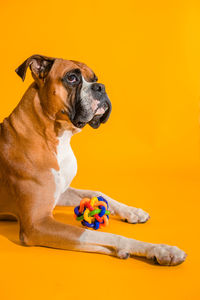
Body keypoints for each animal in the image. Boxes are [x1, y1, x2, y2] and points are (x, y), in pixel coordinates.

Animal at [0, 54, 186, 264]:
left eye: (95, 78)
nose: (101, 87)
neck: (56, 137)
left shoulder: (60, 192)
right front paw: (160, 249)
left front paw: (132, 212)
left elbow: (95, 192)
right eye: (72, 78)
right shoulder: (37, 224)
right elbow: (106, 236)